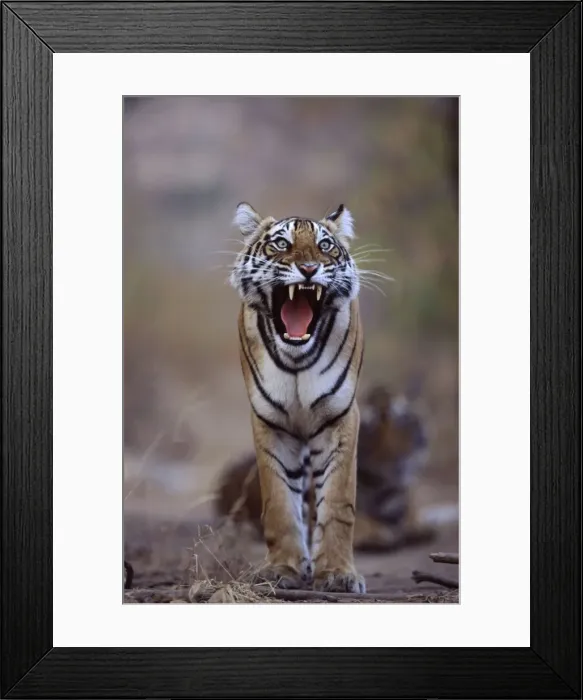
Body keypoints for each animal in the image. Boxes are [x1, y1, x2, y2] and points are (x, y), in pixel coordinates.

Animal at [228, 202, 365, 592]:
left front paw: (337, 573)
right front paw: (282, 569)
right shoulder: (270, 423)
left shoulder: (340, 418)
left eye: (325, 246)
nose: (308, 268)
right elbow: (279, 502)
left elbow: (337, 502)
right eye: (281, 243)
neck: (296, 359)